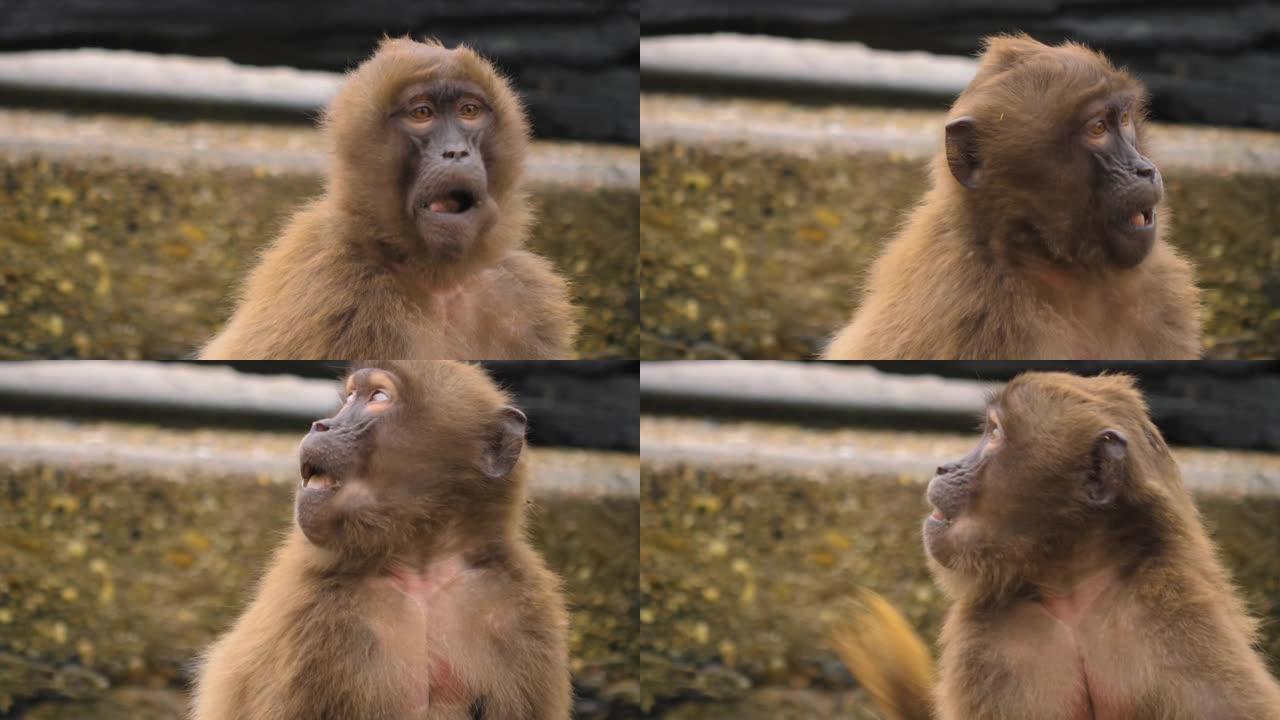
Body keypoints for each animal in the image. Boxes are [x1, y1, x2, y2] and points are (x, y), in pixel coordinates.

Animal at [189, 361, 570, 712]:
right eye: (349, 397)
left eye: (378, 397)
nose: (321, 425)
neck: (420, 565)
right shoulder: (312, 614)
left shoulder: (518, 607)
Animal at [197, 37, 578, 356]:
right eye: (422, 113)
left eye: (469, 111)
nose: (455, 152)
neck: (437, 280)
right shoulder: (343, 295)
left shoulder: (522, 297)